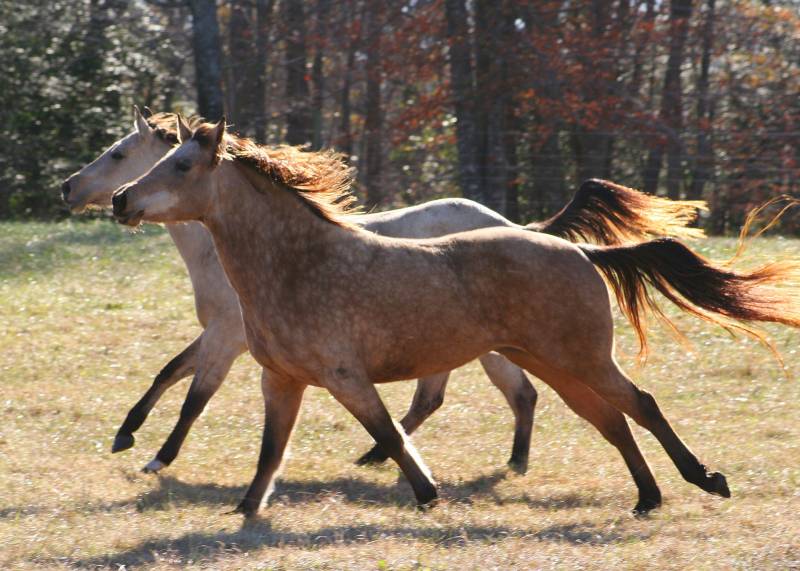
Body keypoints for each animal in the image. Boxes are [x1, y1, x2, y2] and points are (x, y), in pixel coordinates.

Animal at [111, 117, 800, 520]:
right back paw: (648, 498)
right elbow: (268, 452)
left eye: (180, 165)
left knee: (641, 405)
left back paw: (704, 481)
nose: (120, 200)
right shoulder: (280, 379)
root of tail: (581, 251)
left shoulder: (343, 377)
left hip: (580, 358)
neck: (298, 263)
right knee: (611, 420)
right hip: (549, 363)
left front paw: (426, 493)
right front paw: (244, 511)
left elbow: (389, 433)